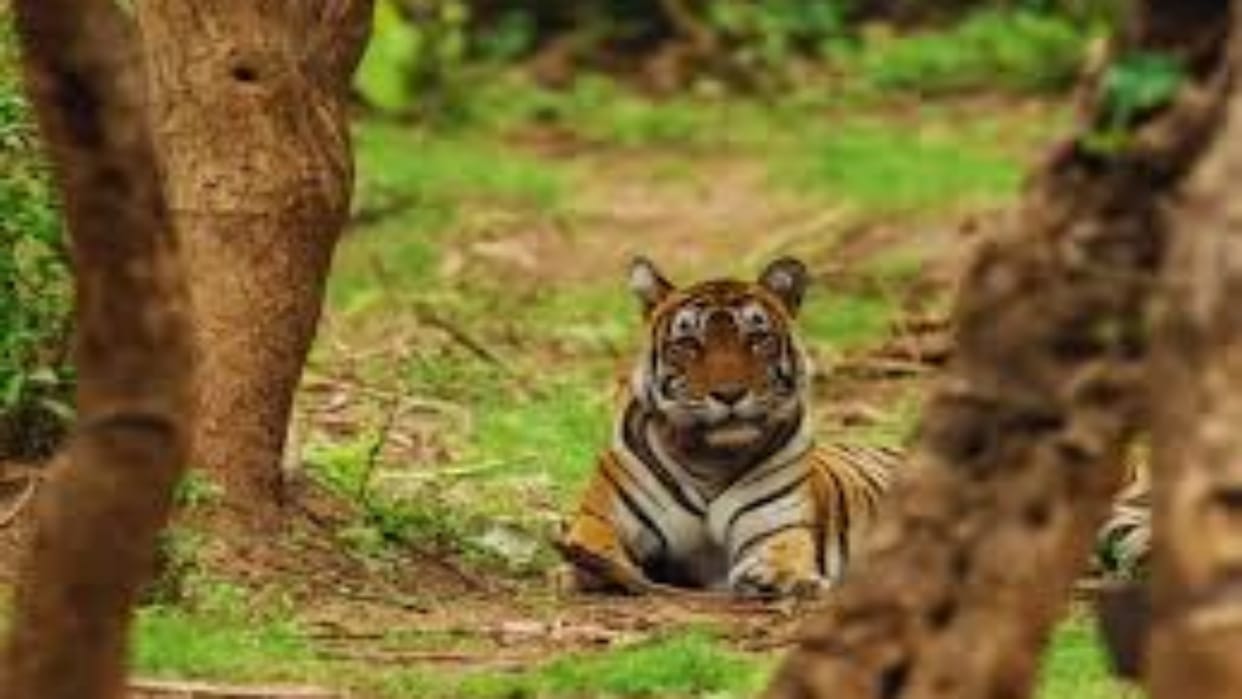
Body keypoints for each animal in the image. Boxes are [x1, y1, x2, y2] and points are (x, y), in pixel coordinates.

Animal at [557, 256, 897, 598]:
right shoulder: (600, 518)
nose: (729, 393)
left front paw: (777, 576)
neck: (710, 460)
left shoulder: (778, 527)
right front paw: (592, 567)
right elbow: (595, 546)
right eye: (688, 343)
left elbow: (785, 553)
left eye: (757, 339)